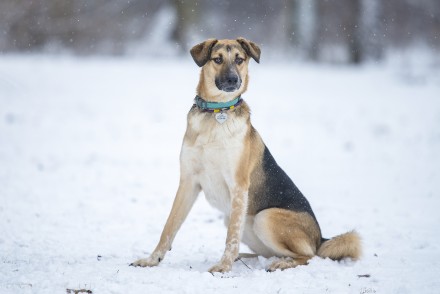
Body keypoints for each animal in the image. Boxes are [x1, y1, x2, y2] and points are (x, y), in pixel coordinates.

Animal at [130, 38, 360, 272]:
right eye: (218, 59)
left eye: (239, 59)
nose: (233, 80)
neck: (216, 113)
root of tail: (320, 238)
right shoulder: (188, 182)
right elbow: (169, 227)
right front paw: (151, 259)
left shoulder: (238, 186)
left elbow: (231, 237)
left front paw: (223, 267)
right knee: (268, 253)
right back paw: (245, 258)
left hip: (264, 217)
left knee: (308, 256)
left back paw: (278, 263)